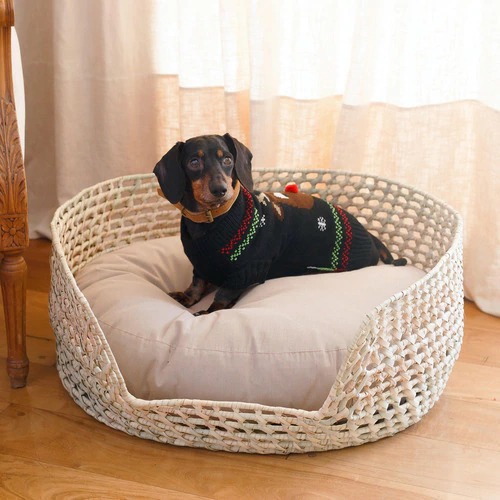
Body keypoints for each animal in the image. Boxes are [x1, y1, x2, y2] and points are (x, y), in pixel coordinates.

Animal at [154, 133, 406, 315]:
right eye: (193, 162)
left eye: (227, 160)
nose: (220, 190)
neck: (212, 219)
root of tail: (370, 237)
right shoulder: (201, 266)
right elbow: (196, 285)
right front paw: (186, 297)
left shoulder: (246, 271)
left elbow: (223, 296)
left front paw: (209, 312)